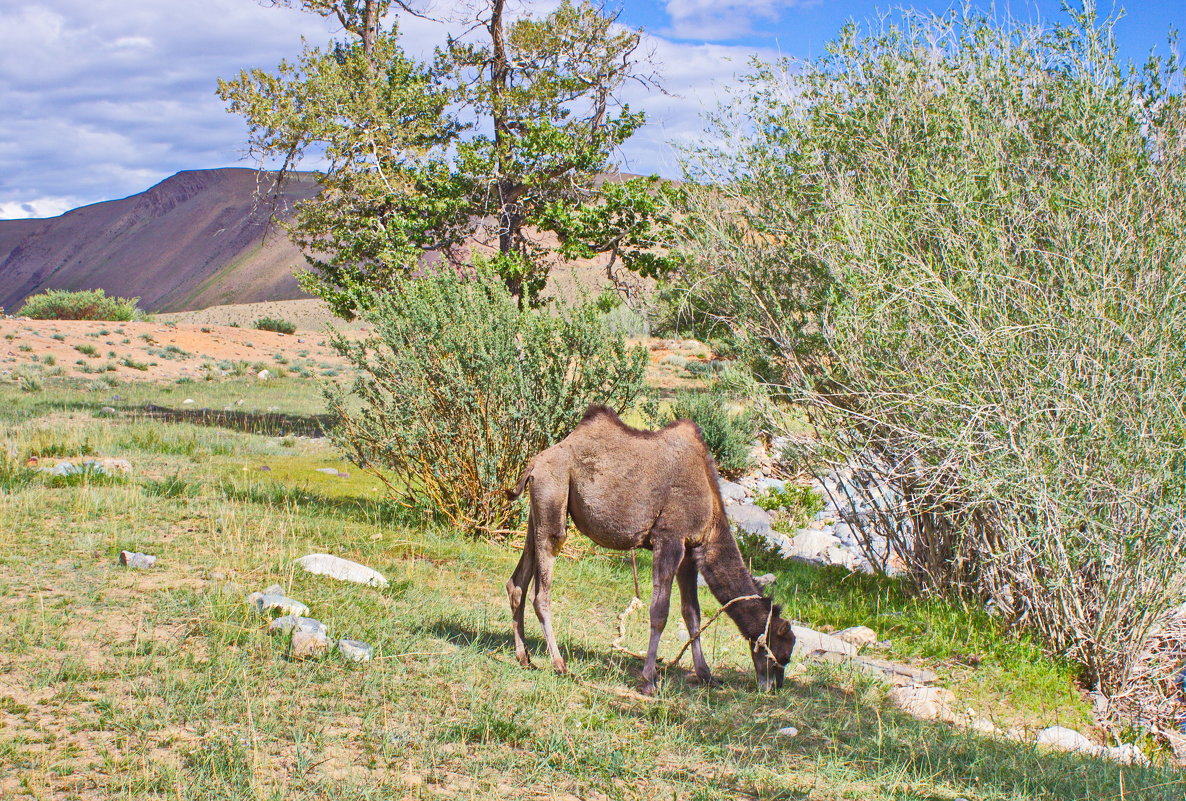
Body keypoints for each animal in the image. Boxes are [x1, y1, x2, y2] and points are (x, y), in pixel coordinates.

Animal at [505, 403, 792, 693]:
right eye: (782, 655)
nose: (774, 686)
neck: (710, 512)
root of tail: (535, 462)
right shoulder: (669, 538)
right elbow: (659, 612)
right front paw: (648, 680)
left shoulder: (689, 551)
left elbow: (692, 613)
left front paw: (706, 675)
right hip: (553, 498)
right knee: (541, 593)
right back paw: (559, 664)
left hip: (539, 512)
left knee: (517, 583)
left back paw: (524, 658)